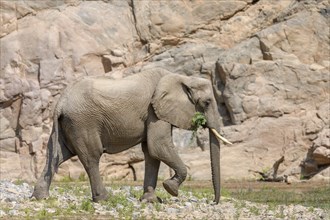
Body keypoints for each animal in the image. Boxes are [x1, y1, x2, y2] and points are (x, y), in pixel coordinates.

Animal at [31, 68, 224, 204]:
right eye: (207, 102)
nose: (213, 202)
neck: (181, 78)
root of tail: (60, 103)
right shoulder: (154, 112)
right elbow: (158, 146)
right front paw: (171, 189)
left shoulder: (155, 113)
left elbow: (151, 152)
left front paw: (151, 201)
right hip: (83, 122)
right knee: (91, 157)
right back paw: (104, 199)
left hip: (68, 124)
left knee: (56, 156)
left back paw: (40, 197)